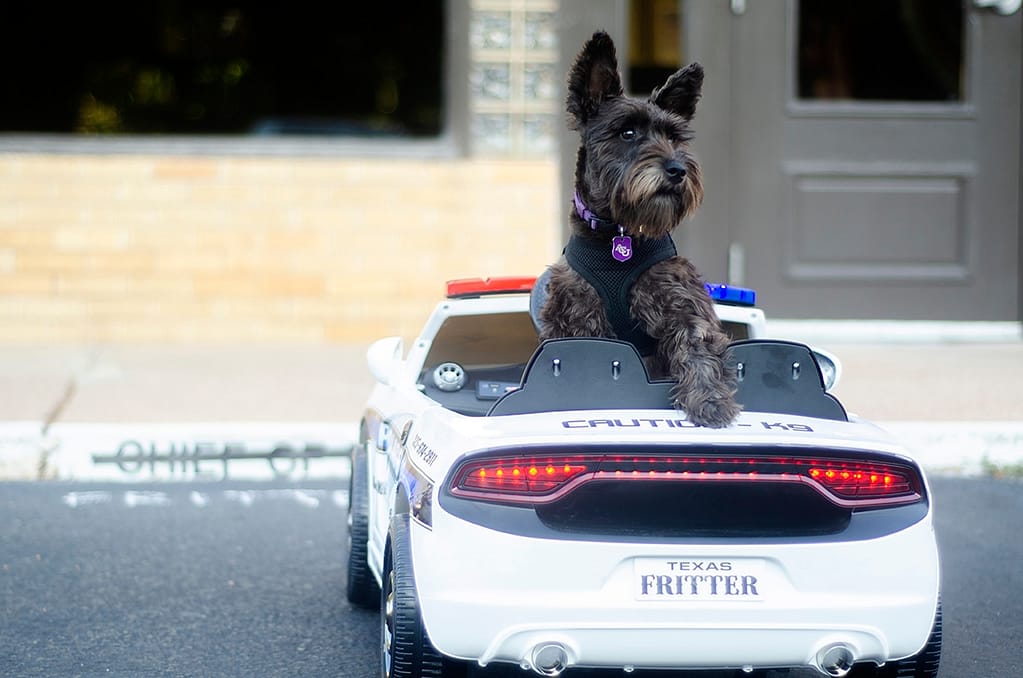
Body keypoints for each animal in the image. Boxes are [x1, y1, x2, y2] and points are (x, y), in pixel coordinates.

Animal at [540, 31, 740, 427]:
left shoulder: (682, 300)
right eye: (628, 132)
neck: (618, 234)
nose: (678, 169)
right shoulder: (578, 315)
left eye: (675, 137)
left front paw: (710, 401)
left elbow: (697, 344)